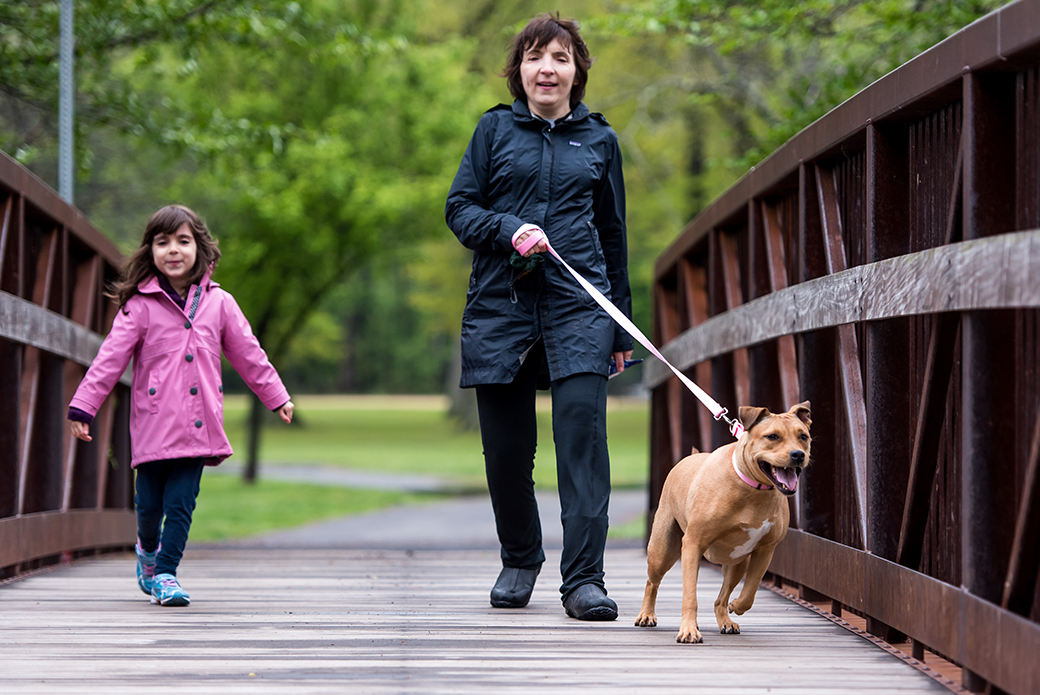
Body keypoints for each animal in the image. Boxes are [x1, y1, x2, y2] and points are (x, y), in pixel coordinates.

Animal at [632, 403, 811, 645]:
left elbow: (750, 591)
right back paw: (646, 614)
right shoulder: (693, 544)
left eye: (803, 437)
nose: (798, 454)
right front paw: (688, 630)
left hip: (737, 562)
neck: (753, 488)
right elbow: (690, 595)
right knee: (653, 582)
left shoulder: (765, 551)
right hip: (663, 551)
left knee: (721, 598)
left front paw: (737, 605)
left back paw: (726, 619)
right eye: (772, 436)